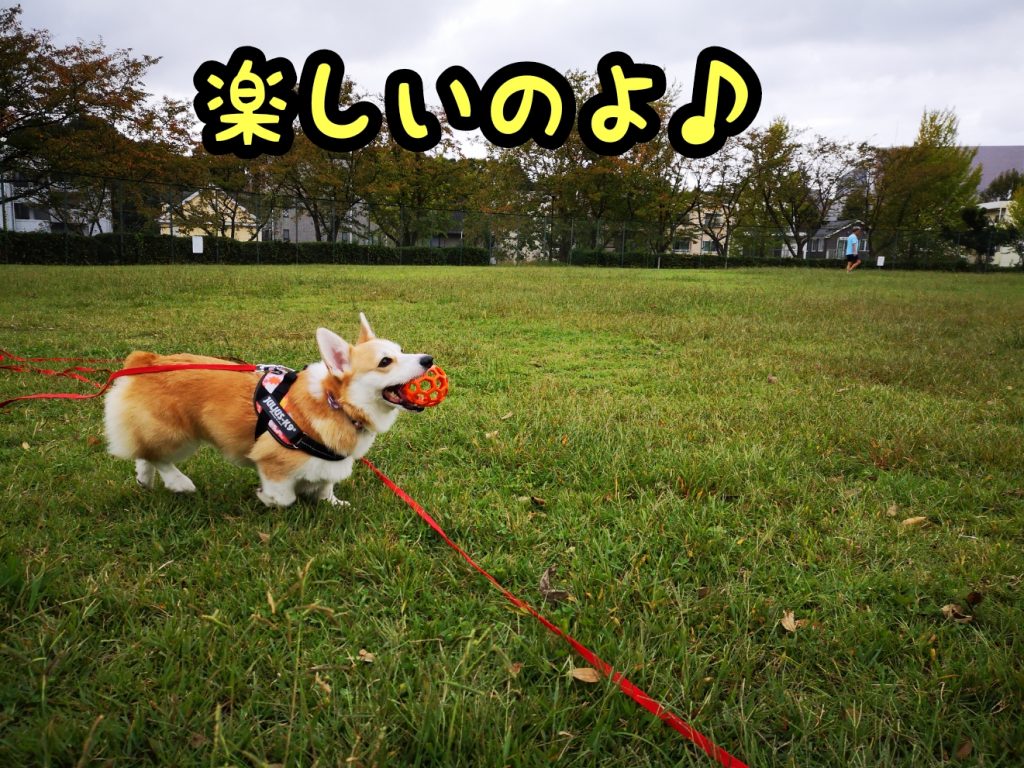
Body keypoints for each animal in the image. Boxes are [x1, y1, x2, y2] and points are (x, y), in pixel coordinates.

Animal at [104, 314, 432, 507]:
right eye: (385, 362)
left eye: (402, 351)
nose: (429, 359)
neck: (336, 403)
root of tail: (146, 359)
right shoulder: (273, 462)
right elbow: (285, 497)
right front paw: (267, 498)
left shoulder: (331, 463)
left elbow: (326, 486)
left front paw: (332, 503)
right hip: (178, 435)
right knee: (157, 456)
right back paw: (178, 483)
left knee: (145, 454)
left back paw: (145, 481)